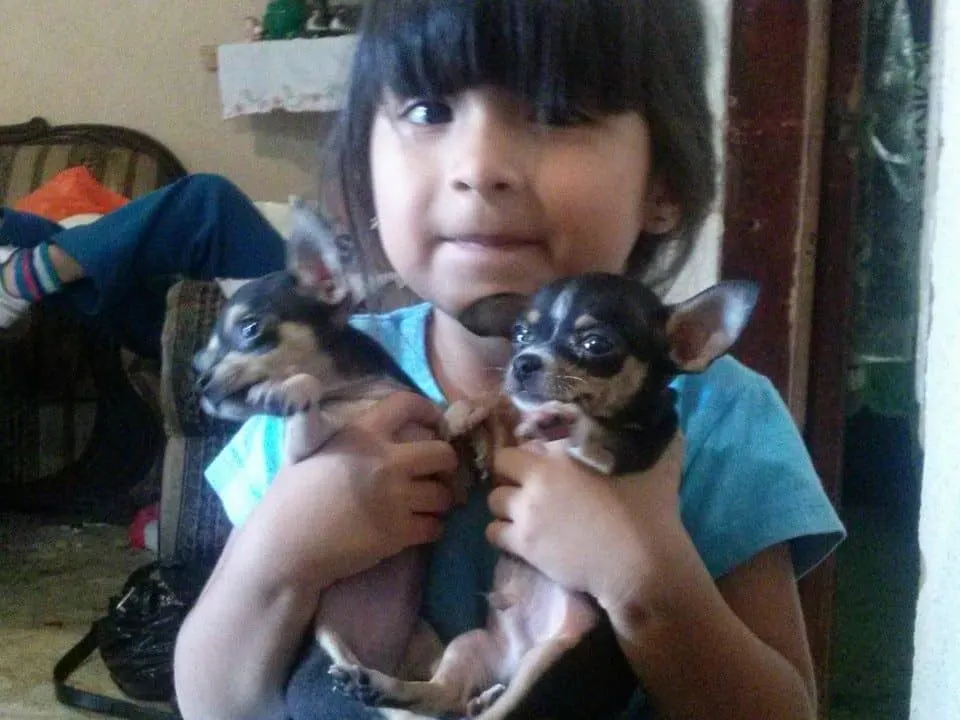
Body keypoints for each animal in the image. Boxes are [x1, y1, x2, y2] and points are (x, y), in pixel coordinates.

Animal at [334, 274, 760, 720]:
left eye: (596, 344)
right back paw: (384, 685)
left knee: (496, 708)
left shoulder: (638, 447)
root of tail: (515, 656)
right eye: (521, 334)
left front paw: (564, 418)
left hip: (551, 661)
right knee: (444, 693)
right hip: (472, 645)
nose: (523, 362)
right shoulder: (509, 446)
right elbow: (500, 405)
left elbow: (597, 434)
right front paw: (464, 415)